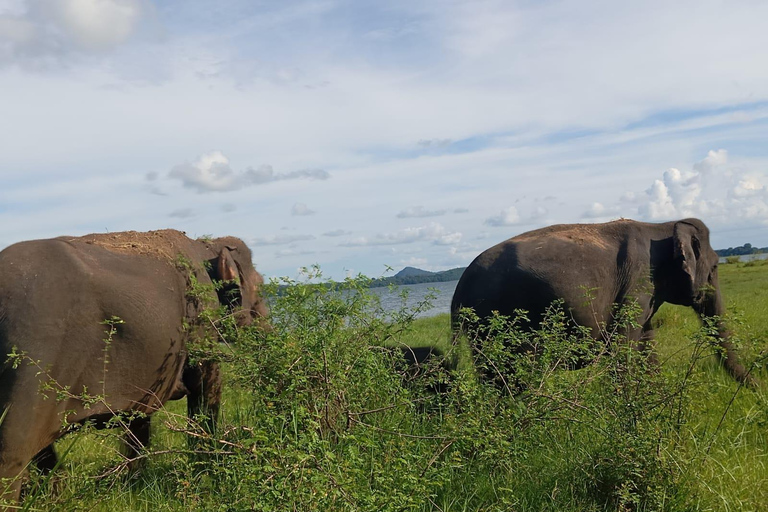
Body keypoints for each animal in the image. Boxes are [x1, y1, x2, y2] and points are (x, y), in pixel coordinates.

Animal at [0, 231, 270, 504]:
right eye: (259, 288)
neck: (206, 245)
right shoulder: (201, 324)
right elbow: (205, 387)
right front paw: (204, 473)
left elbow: (139, 417)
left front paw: (133, 485)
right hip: (32, 366)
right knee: (13, 453)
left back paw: (55, 495)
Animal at [452, 218, 752, 386]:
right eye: (715, 267)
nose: (757, 393)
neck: (663, 225)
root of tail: (459, 287)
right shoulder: (637, 280)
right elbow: (622, 346)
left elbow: (646, 343)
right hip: (493, 318)